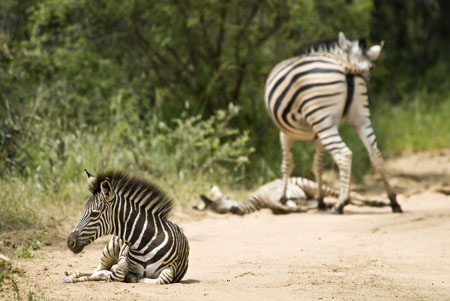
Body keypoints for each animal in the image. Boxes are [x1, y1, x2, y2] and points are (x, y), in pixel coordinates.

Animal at [264, 31, 400, 213]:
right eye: (371, 68)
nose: (366, 78)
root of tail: (347, 66)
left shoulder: (285, 133)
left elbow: (287, 164)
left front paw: (283, 198)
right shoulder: (317, 135)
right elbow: (318, 165)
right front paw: (321, 200)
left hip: (322, 120)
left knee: (344, 154)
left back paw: (340, 204)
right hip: (359, 118)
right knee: (375, 154)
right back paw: (393, 201)